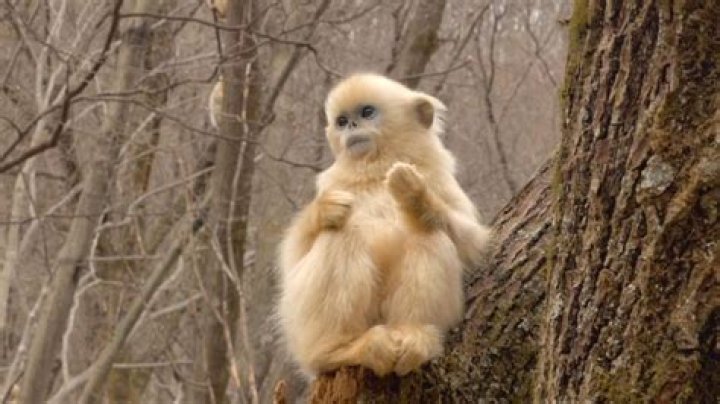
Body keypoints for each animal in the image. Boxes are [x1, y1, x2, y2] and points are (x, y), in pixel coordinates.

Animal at [277, 73, 491, 377]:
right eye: (342, 120)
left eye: (367, 112)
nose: (352, 126)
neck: (377, 169)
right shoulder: (331, 184)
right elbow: (292, 259)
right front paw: (325, 209)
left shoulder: (440, 180)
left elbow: (472, 243)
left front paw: (415, 197)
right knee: (342, 234)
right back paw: (338, 350)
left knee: (427, 233)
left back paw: (413, 336)